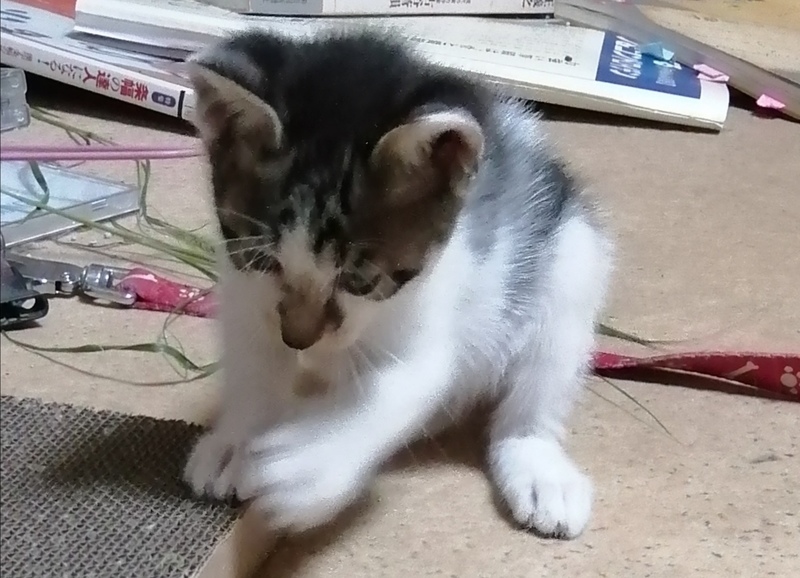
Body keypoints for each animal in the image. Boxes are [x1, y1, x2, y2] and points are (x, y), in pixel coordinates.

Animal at [183, 27, 613, 540]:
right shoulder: (245, 294)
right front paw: (236, 440)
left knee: (542, 374)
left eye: (360, 280)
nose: (298, 339)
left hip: (572, 264)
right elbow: (253, 362)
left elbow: (400, 385)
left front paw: (312, 466)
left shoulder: (437, 304)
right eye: (263, 261)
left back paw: (537, 467)